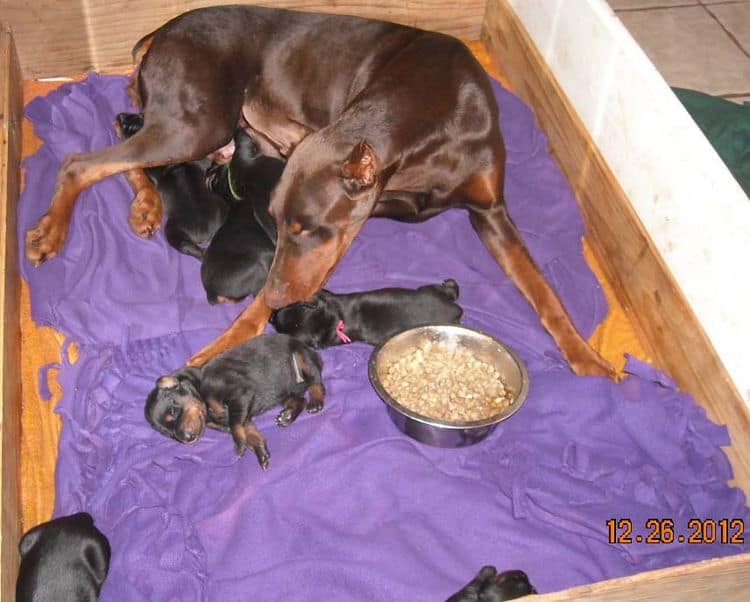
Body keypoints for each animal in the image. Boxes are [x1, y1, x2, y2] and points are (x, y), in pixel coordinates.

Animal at [144, 332, 326, 468]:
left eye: (173, 411)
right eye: (169, 435)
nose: (187, 439)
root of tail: (314, 353)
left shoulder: (238, 395)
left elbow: (235, 425)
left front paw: (239, 445)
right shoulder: (242, 414)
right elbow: (249, 431)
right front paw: (260, 450)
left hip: (301, 357)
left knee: (316, 383)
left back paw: (315, 402)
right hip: (284, 393)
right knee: (299, 399)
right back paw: (287, 416)